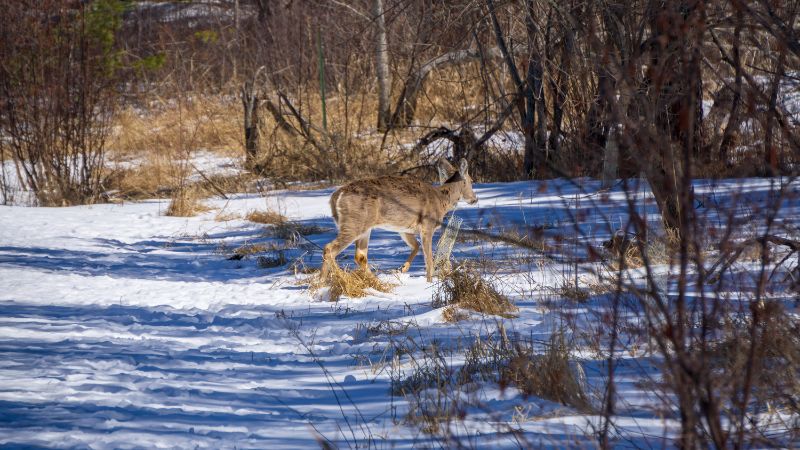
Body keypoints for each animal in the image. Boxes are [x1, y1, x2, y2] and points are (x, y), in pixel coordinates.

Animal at [322, 159, 478, 282]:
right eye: (471, 180)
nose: (475, 199)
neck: (441, 200)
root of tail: (336, 196)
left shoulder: (405, 229)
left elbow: (416, 246)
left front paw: (402, 269)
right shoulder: (427, 226)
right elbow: (429, 260)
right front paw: (429, 282)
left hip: (365, 227)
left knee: (360, 255)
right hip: (354, 222)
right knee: (329, 248)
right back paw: (339, 278)